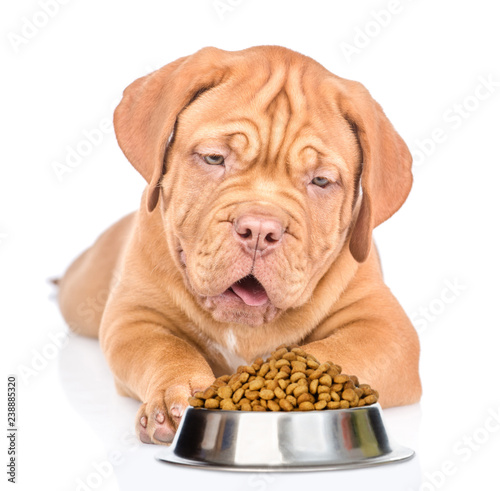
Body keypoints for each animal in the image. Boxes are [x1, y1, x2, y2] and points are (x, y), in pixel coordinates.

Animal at [56, 46, 420, 446]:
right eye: (214, 158)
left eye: (321, 181)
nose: (260, 230)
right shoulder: (134, 316)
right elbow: (166, 349)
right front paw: (175, 396)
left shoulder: (387, 330)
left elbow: (326, 351)